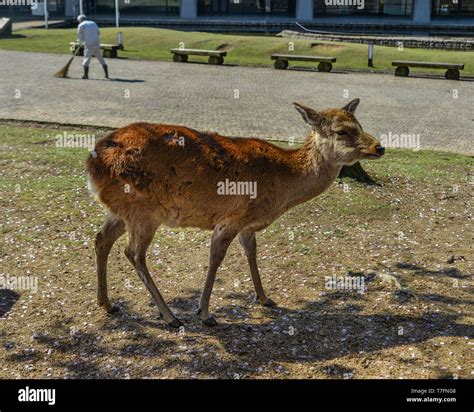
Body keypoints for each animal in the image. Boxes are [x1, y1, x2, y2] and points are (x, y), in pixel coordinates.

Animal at [87, 98, 386, 326]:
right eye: (341, 131)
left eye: (360, 124)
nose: (379, 146)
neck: (280, 188)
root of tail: (92, 162)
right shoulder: (231, 217)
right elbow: (216, 258)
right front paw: (205, 313)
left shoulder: (247, 225)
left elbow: (251, 252)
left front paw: (264, 297)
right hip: (144, 211)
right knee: (133, 252)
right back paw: (169, 315)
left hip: (122, 210)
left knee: (101, 239)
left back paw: (107, 303)